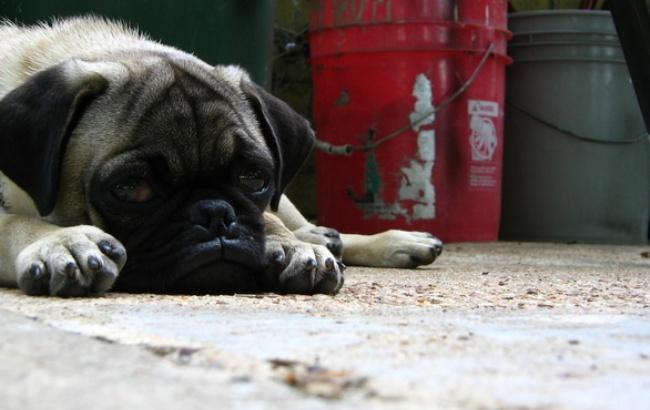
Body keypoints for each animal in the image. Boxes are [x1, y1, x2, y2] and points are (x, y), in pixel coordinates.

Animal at [0, 16, 440, 298]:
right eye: (131, 188)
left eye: (254, 178)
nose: (214, 213)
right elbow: (15, 223)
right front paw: (62, 241)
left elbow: (267, 219)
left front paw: (289, 246)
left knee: (297, 220)